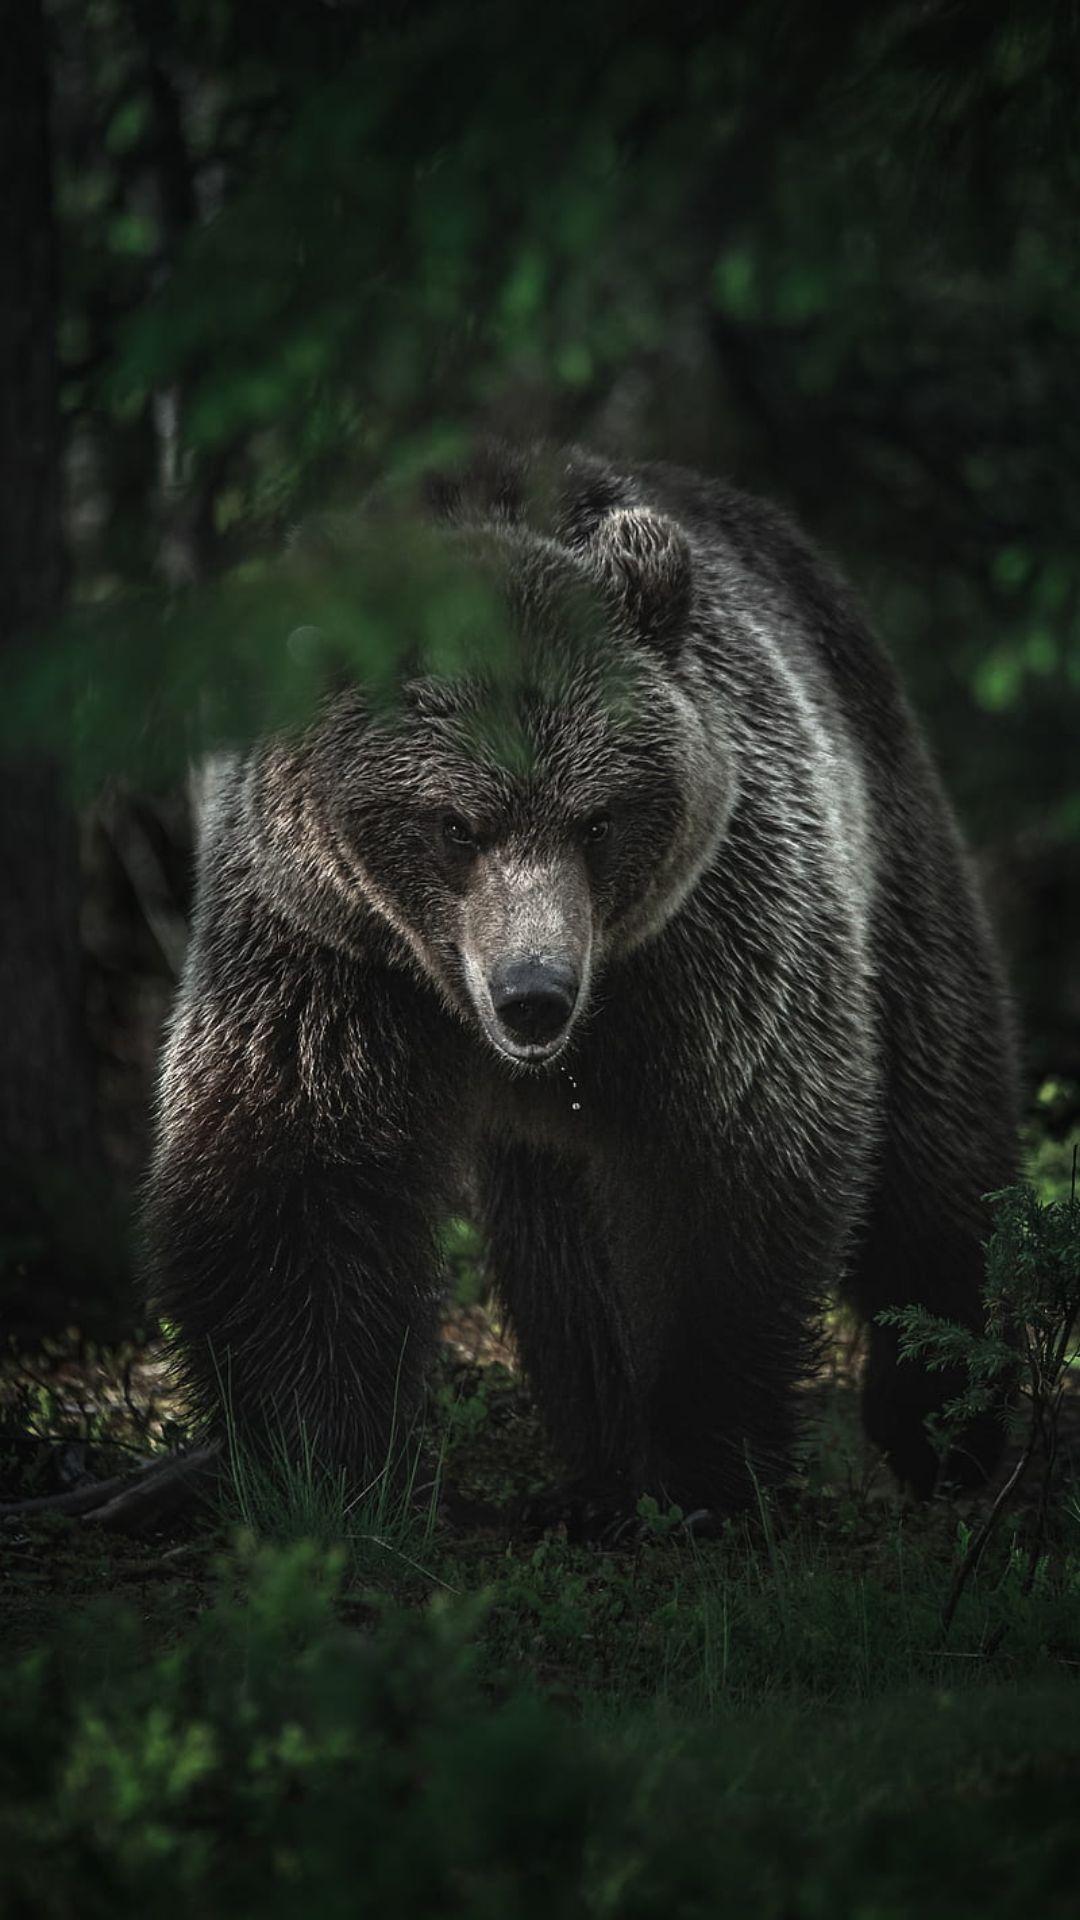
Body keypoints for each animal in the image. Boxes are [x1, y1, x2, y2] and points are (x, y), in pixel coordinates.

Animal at [145, 441, 1019, 1520]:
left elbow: (731, 1158)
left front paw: (706, 1461)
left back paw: (946, 1419)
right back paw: (596, 1470)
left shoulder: (707, 937)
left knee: (936, 1132)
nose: (535, 994)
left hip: (890, 835)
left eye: (598, 818)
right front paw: (312, 1461)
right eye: (454, 824)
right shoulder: (323, 951)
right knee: (563, 1252)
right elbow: (291, 1175)